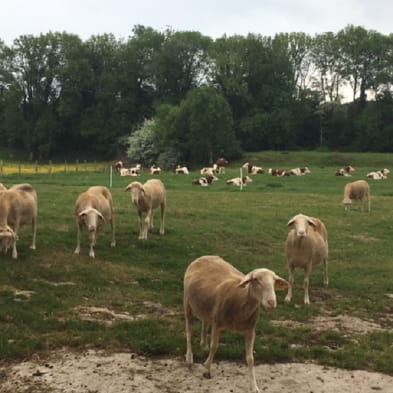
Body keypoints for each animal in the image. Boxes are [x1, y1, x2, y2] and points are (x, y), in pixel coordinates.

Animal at [184, 254, 288, 392]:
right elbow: (214, 346)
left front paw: (254, 386)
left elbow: (250, 359)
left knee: (205, 321)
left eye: (275, 281)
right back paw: (189, 358)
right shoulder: (217, 324)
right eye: (255, 279)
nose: (271, 302)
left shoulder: (250, 330)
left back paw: (203, 344)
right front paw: (207, 370)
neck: (240, 300)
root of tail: (206, 256)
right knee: (189, 331)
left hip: (205, 305)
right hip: (187, 302)